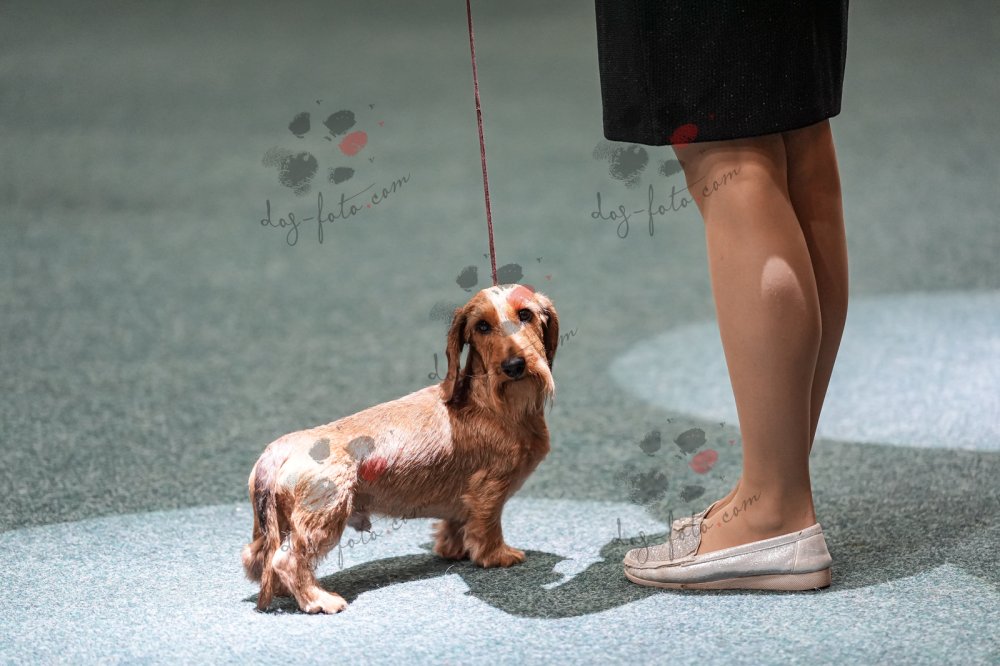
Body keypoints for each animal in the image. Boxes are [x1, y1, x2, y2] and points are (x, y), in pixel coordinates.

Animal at [241, 283, 559, 613]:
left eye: (526, 314)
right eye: (482, 326)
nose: (514, 366)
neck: (494, 404)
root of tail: (279, 449)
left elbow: (456, 526)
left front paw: (453, 550)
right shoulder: (489, 490)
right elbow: (487, 527)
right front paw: (498, 556)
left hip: (276, 523)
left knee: (257, 557)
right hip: (325, 516)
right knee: (287, 560)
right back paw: (319, 599)